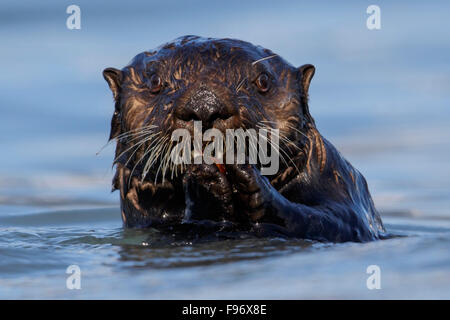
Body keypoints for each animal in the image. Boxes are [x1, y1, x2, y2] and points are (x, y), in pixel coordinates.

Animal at [102, 35, 386, 242]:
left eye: (263, 81)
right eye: (154, 82)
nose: (204, 105)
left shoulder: (339, 181)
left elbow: (335, 221)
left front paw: (250, 181)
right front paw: (206, 181)